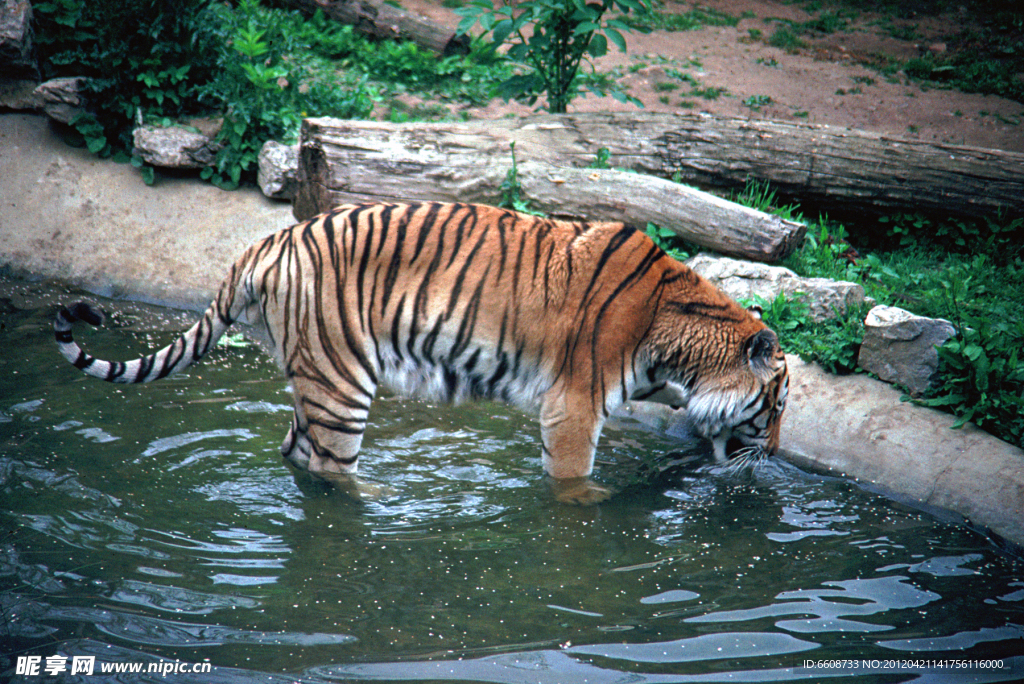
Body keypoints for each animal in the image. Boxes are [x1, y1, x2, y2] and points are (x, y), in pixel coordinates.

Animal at [55, 201, 788, 504]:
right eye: (777, 406)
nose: (778, 453)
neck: (681, 346)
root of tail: (263, 243)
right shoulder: (573, 406)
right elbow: (571, 479)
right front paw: (592, 503)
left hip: (315, 377)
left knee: (294, 450)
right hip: (341, 380)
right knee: (329, 468)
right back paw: (383, 500)